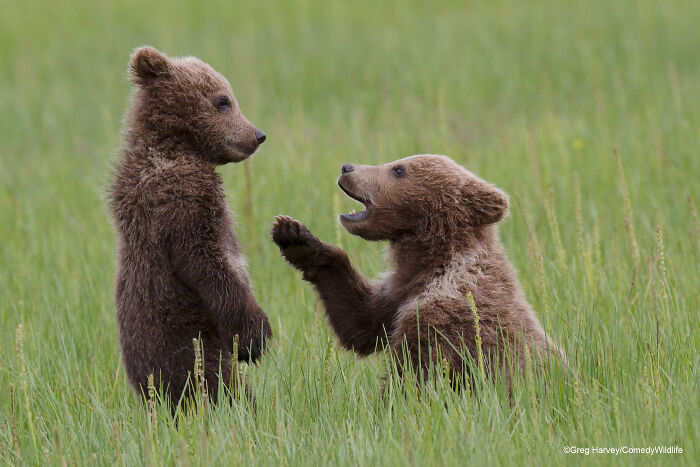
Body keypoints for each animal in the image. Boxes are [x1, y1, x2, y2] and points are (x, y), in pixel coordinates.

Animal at [108, 46, 272, 407]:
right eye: (223, 100)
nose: (258, 135)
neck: (178, 145)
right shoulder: (184, 198)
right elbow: (207, 260)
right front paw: (256, 335)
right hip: (186, 343)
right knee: (219, 383)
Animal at [271, 154, 566, 392]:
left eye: (398, 169)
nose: (347, 167)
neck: (432, 263)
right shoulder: (398, 294)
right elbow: (359, 320)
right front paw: (295, 236)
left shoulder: (449, 313)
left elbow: (417, 374)